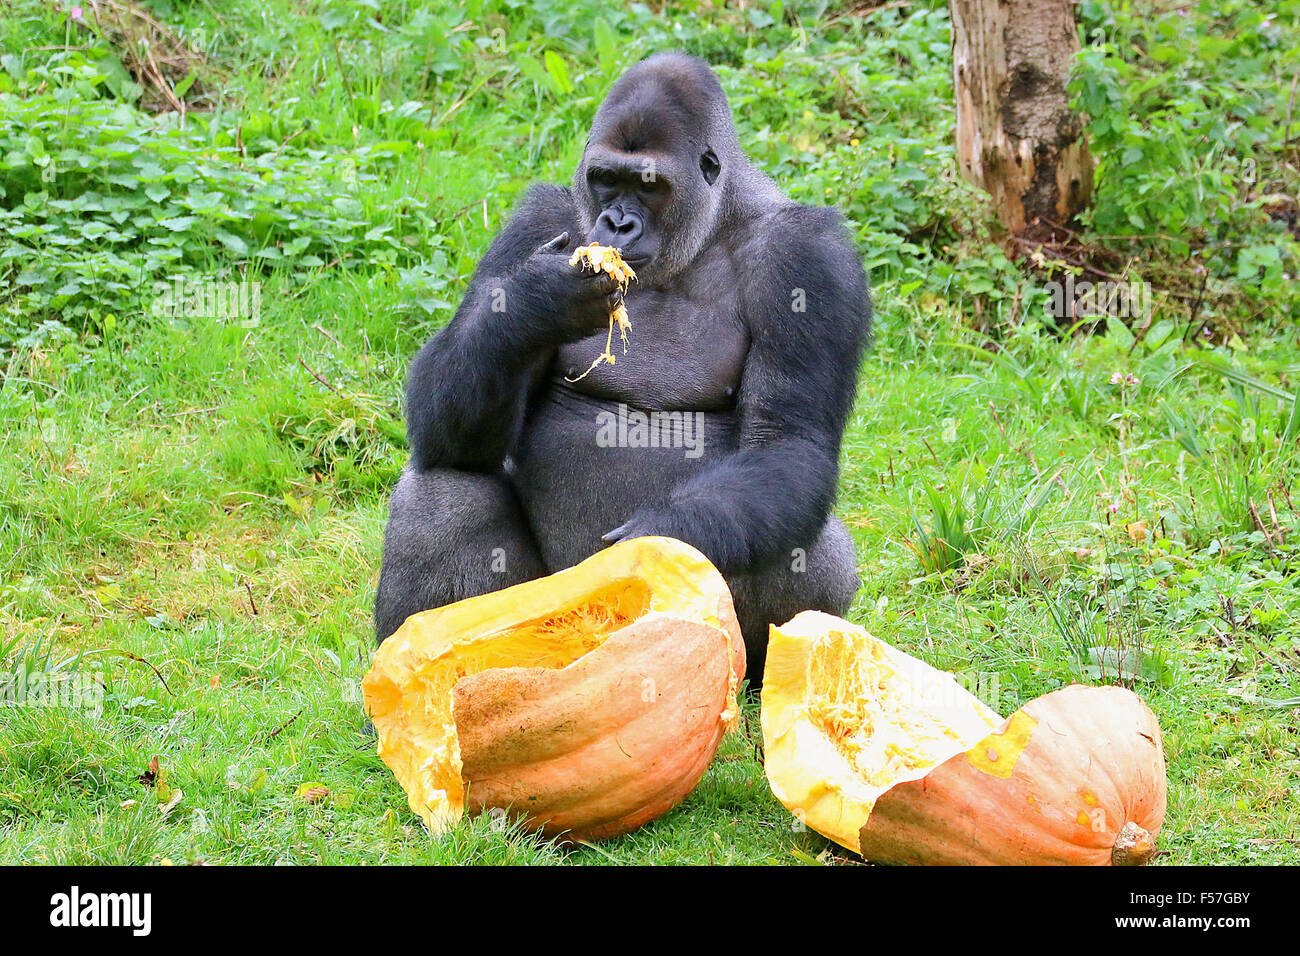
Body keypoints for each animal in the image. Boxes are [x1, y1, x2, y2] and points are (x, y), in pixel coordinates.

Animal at [371, 52, 868, 681]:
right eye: (606, 178)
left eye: (649, 186)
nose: (617, 224)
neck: (714, 221)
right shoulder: (535, 222)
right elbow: (451, 432)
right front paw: (537, 302)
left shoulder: (809, 255)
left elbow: (787, 442)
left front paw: (659, 541)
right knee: (445, 488)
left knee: (805, 541)